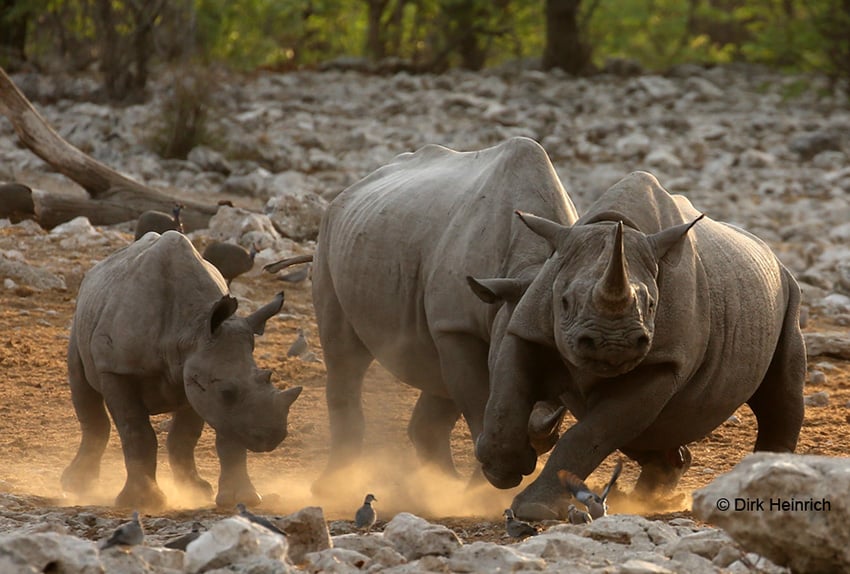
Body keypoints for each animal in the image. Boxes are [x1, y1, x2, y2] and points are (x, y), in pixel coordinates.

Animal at [63, 232, 302, 510]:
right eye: (227, 392)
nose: (273, 436)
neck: (191, 329)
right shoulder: (116, 369)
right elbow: (136, 432)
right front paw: (142, 502)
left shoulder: (198, 377)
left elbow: (204, 434)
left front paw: (235, 498)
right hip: (81, 321)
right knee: (83, 390)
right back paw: (76, 486)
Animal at [310, 137, 576, 488]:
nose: (508, 470)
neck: (531, 267)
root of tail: (351, 189)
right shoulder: (455, 326)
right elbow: (477, 401)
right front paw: (485, 484)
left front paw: (476, 490)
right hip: (328, 238)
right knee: (344, 357)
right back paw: (329, 487)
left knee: (436, 383)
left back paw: (441, 486)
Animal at [474, 170, 804, 520]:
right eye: (564, 302)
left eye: (651, 305)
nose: (613, 343)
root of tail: (772, 254)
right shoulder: (528, 329)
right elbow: (506, 397)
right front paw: (502, 471)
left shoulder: (663, 362)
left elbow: (591, 433)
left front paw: (534, 509)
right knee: (649, 431)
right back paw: (652, 495)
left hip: (789, 293)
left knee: (781, 393)